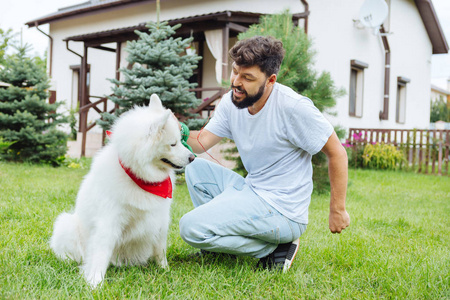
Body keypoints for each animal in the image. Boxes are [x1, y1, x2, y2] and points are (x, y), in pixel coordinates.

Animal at [50, 95, 194, 288]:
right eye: (173, 144)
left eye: (180, 140)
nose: (192, 157)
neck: (140, 178)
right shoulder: (109, 220)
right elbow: (101, 253)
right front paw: (95, 281)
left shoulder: (160, 219)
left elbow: (160, 250)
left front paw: (165, 270)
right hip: (66, 224)